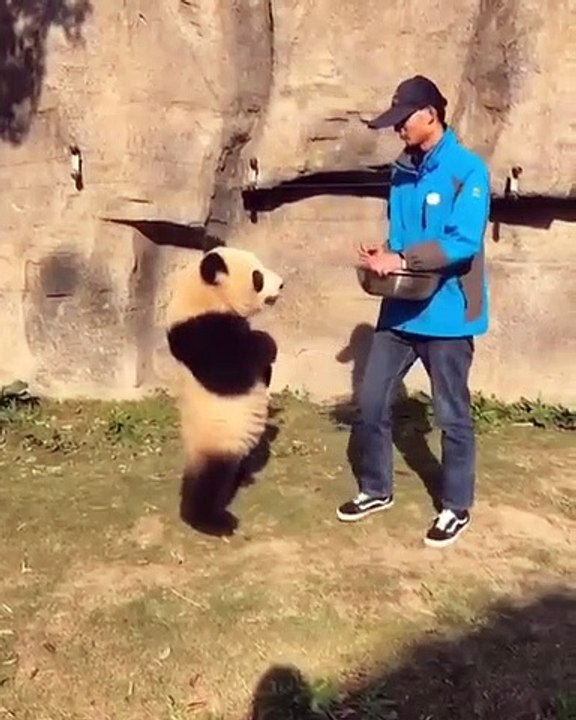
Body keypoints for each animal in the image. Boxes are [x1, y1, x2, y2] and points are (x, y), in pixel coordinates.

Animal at [165, 244, 284, 534]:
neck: (207, 297)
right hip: (216, 438)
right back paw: (211, 520)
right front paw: (268, 344)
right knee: (209, 481)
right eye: (257, 276)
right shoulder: (201, 333)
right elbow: (231, 368)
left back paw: (244, 479)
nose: (282, 284)